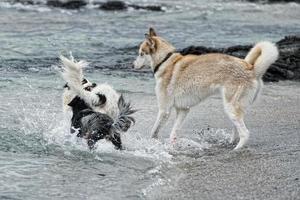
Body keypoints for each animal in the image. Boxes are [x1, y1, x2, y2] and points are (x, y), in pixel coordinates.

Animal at [134, 28, 278, 150]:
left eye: (141, 54)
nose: (132, 65)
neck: (165, 60)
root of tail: (251, 69)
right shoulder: (183, 110)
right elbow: (173, 133)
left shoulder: (164, 110)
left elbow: (154, 131)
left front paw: (152, 143)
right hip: (234, 110)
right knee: (237, 129)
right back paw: (230, 143)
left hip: (230, 106)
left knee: (245, 133)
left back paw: (235, 150)